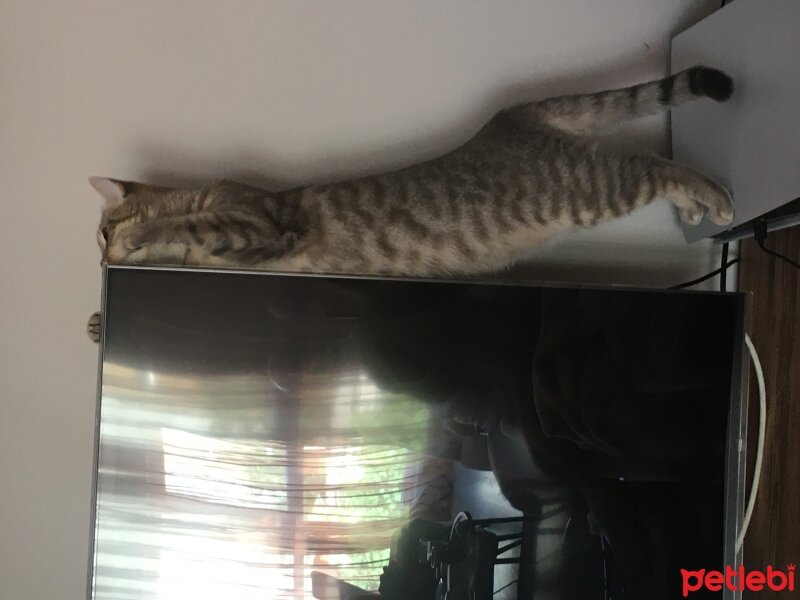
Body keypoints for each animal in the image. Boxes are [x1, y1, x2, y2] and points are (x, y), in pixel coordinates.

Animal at [84, 67, 736, 342]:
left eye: (99, 233)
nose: (101, 260)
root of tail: (504, 119)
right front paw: (96, 321)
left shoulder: (256, 224)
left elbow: (191, 224)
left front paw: (143, 238)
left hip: (582, 188)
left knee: (652, 166)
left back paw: (714, 198)